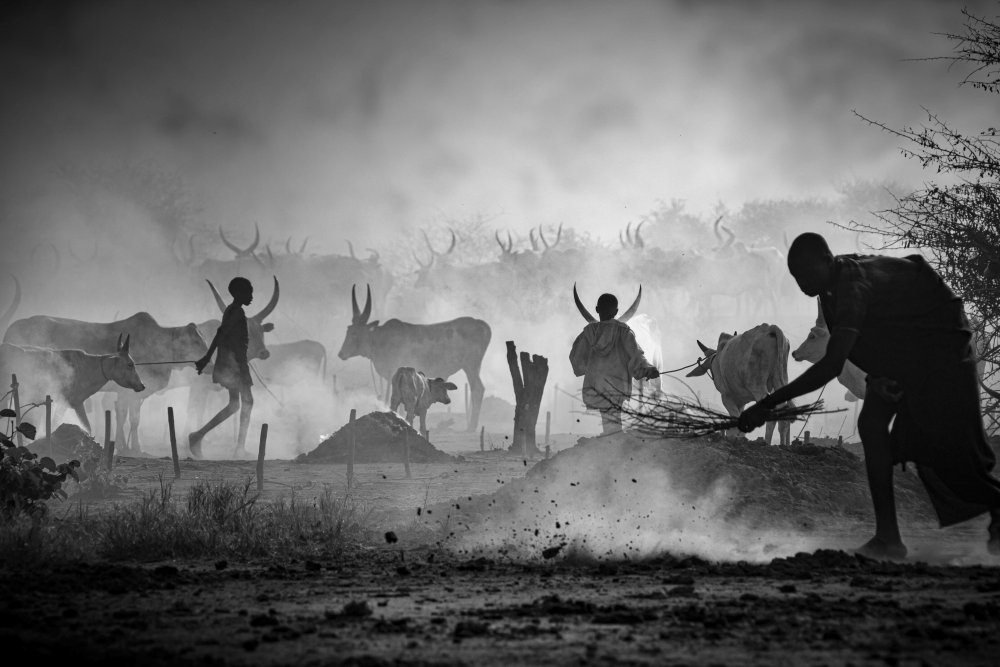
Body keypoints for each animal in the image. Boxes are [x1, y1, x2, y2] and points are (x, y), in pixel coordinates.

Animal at [0, 334, 146, 434]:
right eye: (130, 364)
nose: (142, 385)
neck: (90, 367)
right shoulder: (75, 402)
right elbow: (87, 427)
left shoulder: (66, 403)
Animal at [338, 284, 490, 430]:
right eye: (348, 330)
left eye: (354, 333)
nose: (341, 353)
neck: (380, 338)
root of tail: (482, 324)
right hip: (474, 366)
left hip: (471, 366)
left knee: (477, 389)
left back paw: (471, 425)